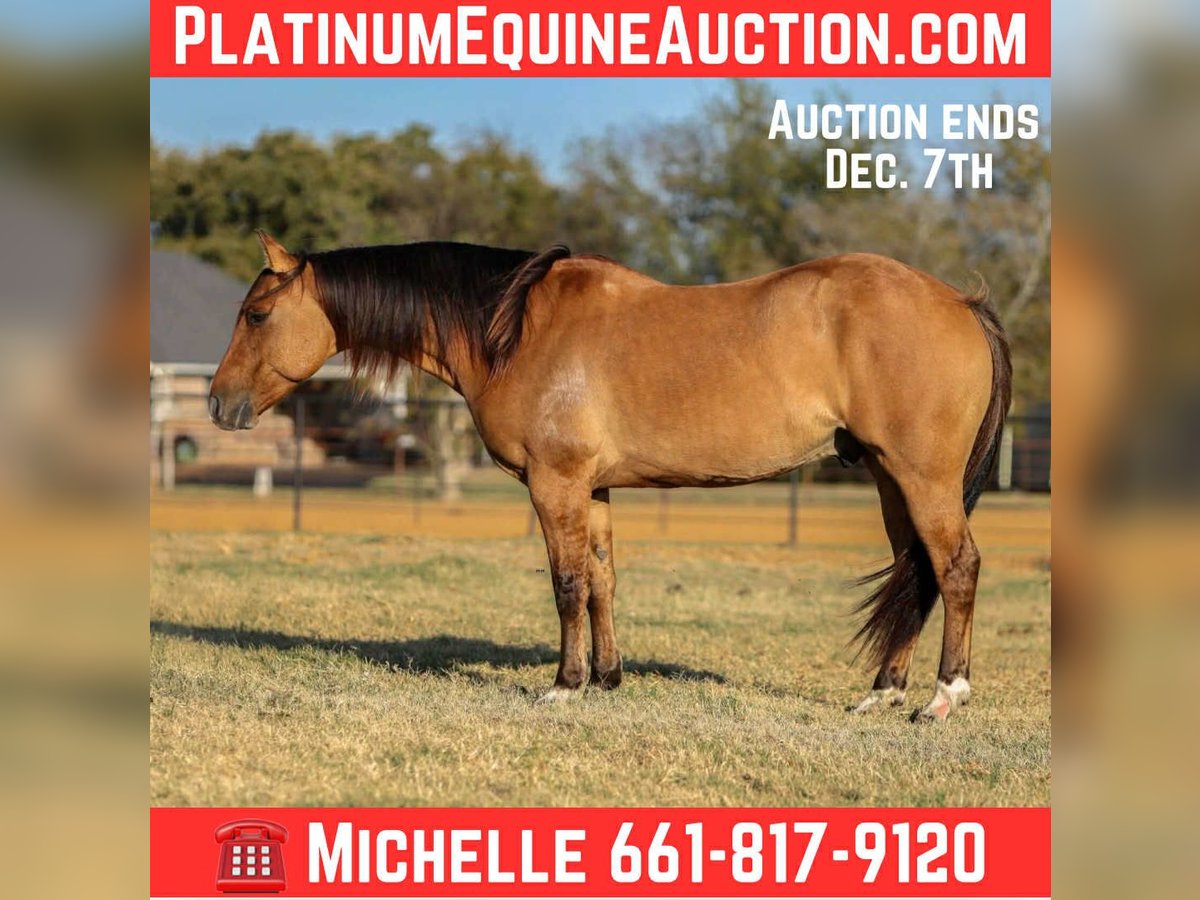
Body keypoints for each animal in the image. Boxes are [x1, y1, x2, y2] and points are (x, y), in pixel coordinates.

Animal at [210, 231, 1011, 722]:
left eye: (256, 314)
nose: (219, 403)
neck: (515, 329)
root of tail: (959, 302)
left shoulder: (554, 483)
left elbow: (566, 583)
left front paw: (564, 687)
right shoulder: (590, 489)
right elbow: (601, 580)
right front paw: (607, 677)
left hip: (921, 478)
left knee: (956, 567)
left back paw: (943, 696)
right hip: (888, 477)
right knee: (916, 571)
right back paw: (883, 692)